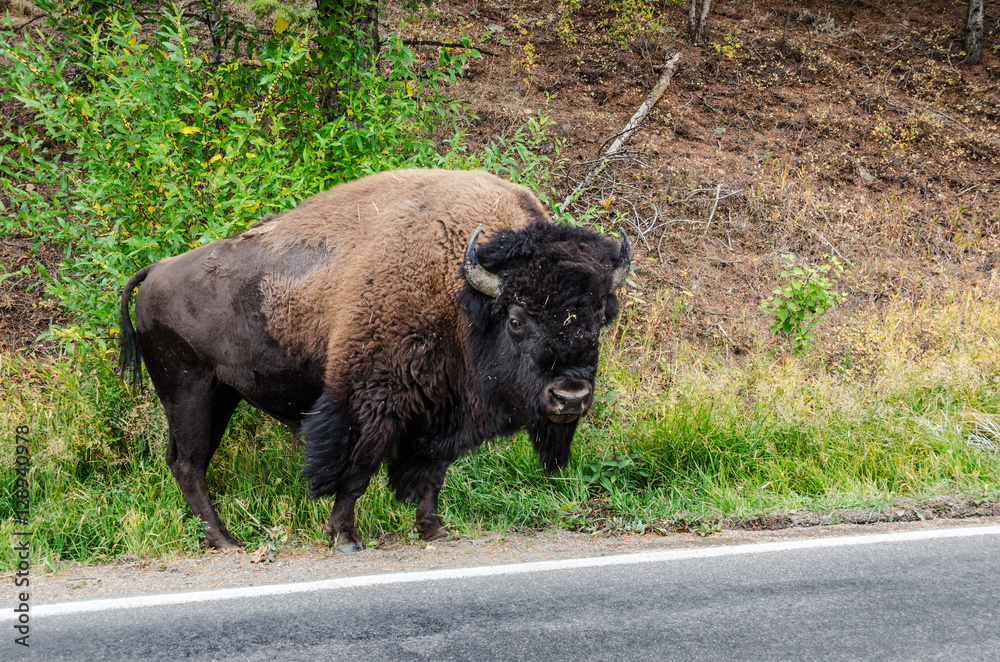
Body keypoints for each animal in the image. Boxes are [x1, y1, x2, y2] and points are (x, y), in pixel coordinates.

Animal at [119, 169, 630, 553]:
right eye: (517, 318)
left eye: (598, 317)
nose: (570, 397)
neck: (460, 292)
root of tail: (156, 270)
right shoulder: (373, 399)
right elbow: (358, 467)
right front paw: (345, 537)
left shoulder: (443, 410)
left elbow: (433, 471)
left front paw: (434, 530)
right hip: (190, 391)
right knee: (189, 464)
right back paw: (227, 540)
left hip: (219, 394)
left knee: (186, 461)